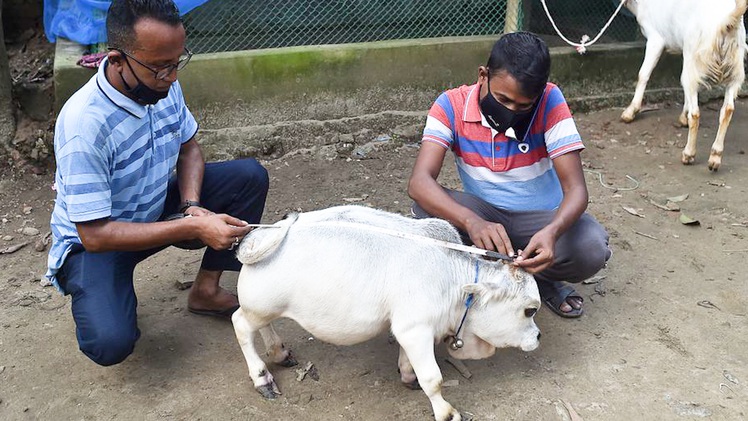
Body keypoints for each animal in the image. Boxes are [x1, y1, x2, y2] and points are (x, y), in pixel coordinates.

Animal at [231, 205, 540, 418]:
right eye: (529, 311)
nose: (537, 337)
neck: (453, 280)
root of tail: (259, 235)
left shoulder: (409, 329)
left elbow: (409, 363)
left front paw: (408, 377)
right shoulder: (415, 329)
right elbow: (433, 379)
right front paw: (446, 412)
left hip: (265, 308)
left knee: (262, 326)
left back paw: (279, 352)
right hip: (260, 306)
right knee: (241, 324)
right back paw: (262, 377)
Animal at [620, 0, 748, 171]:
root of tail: (726, 23)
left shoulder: (656, 38)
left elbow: (643, 74)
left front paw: (629, 112)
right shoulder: (685, 52)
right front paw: (682, 118)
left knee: (696, 113)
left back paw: (688, 154)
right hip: (735, 70)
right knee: (727, 110)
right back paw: (715, 157)